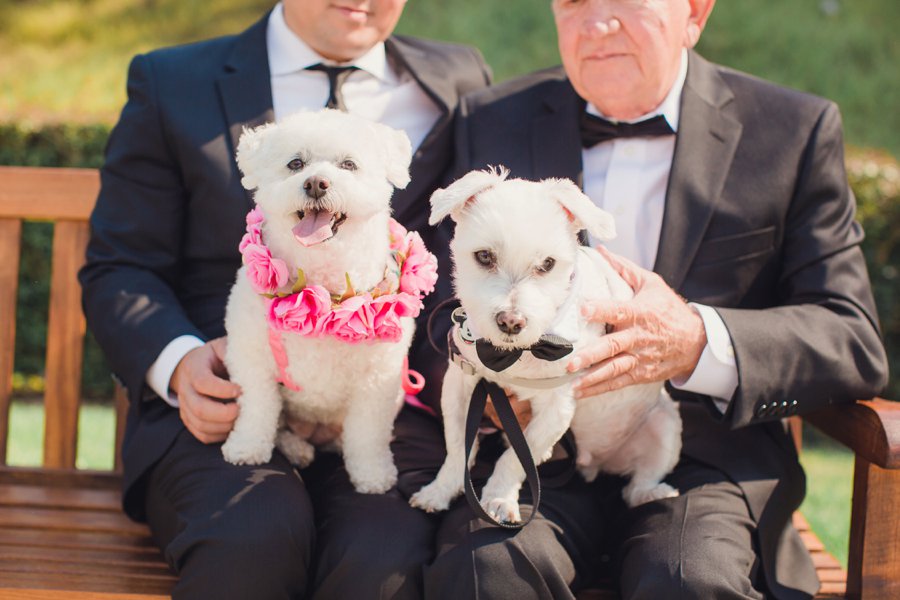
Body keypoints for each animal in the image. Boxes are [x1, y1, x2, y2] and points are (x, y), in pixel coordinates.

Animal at [410, 168, 684, 520]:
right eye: (484, 256)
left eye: (548, 264)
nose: (511, 321)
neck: (515, 355)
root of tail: (593, 464)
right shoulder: (460, 387)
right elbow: (458, 449)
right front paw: (441, 490)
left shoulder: (556, 409)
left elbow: (515, 458)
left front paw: (499, 499)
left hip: (664, 426)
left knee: (637, 484)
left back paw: (653, 493)